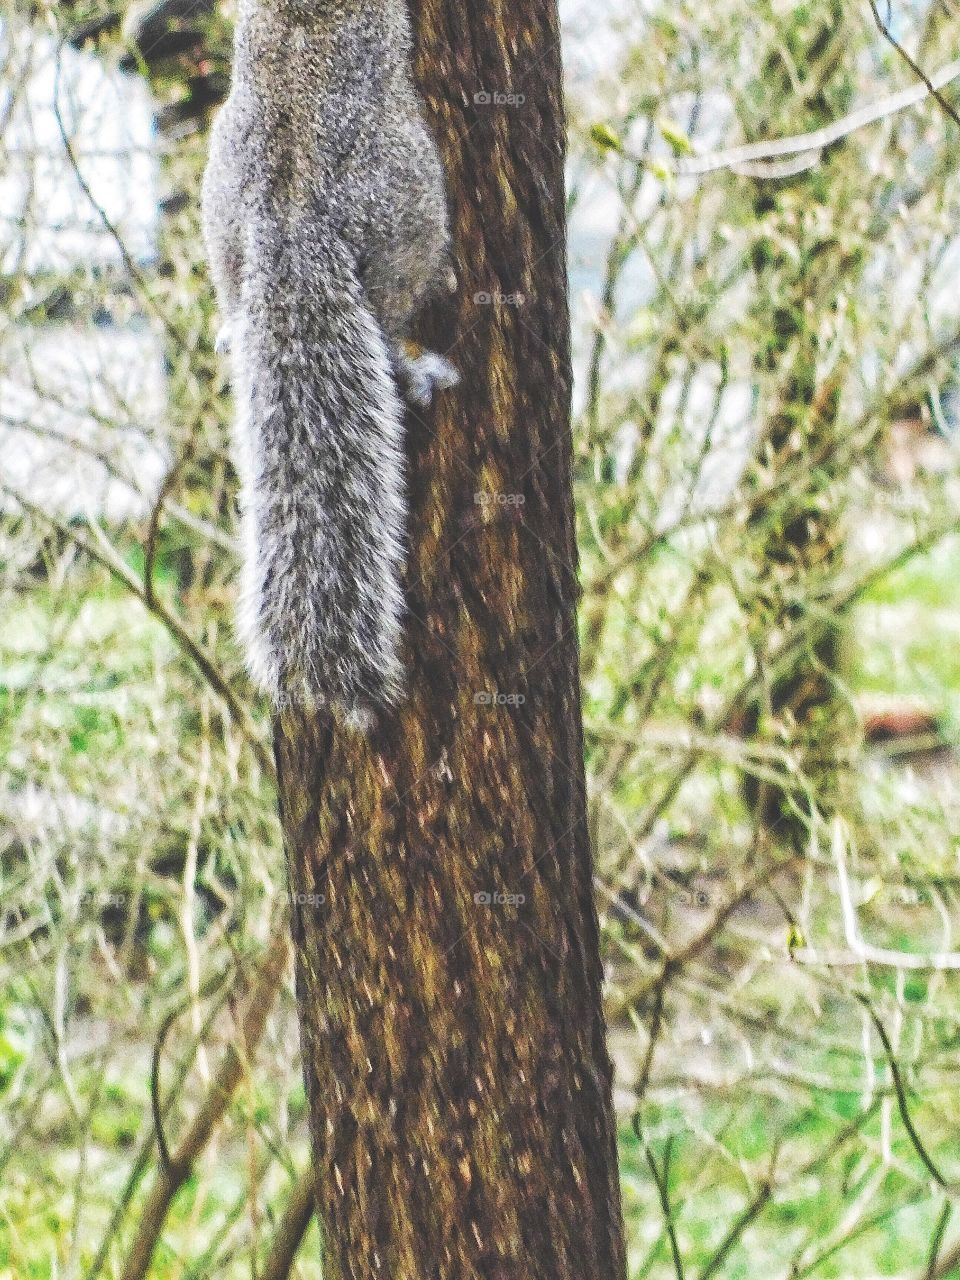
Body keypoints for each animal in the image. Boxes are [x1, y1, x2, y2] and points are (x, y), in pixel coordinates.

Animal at [199, 0, 458, 727]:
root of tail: (292, 219)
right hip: (411, 193)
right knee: (396, 299)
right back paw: (413, 354)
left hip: (220, 196)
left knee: (230, 281)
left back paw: (231, 327)